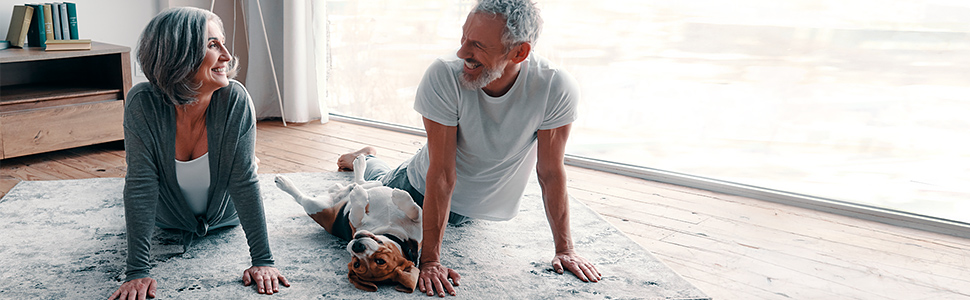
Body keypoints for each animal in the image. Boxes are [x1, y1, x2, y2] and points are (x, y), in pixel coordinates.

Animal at [274, 156, 422, 292]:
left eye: (356, 263)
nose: (357, 246)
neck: (391, 230)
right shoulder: (418, 229)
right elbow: (416, 212)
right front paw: (399, 196)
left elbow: (357, 214)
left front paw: (358, 195)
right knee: (368, 182)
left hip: (314, 205)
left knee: (301, 197)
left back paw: (284, 182)